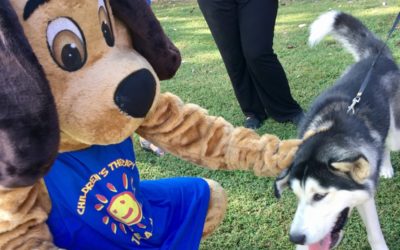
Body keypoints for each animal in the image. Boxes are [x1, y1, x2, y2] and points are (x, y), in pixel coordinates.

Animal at [274, 10, 400, 250]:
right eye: (296, 195)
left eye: (319, 196)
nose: (295, 237)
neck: (328, 128)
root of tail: (376, 57)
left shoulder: (364, 193)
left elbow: (374, 234)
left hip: (396, 132)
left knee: (389, 143)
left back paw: (386, 167)